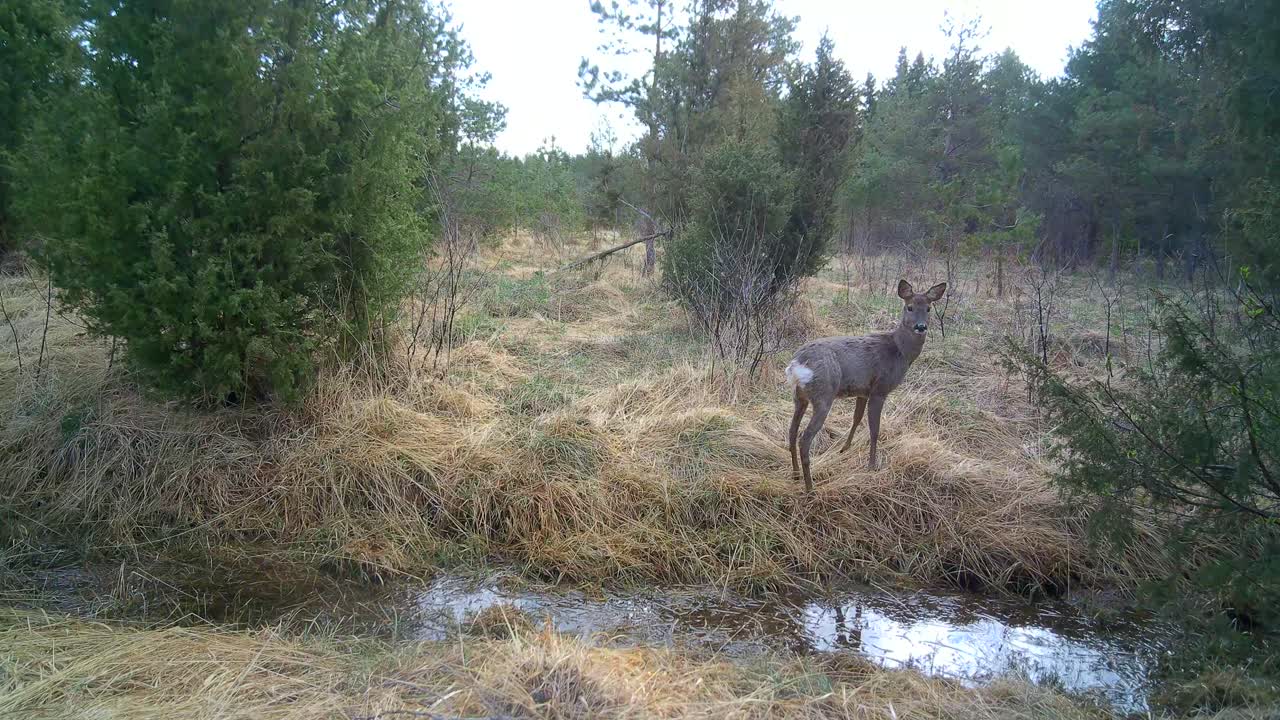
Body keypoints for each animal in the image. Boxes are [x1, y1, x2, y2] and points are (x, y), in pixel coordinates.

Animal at [785, 279, 947, 492]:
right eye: (910, 307)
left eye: (928, 308)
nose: (921, 327)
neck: (900, 351)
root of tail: (797, 365)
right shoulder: (880, 389)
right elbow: (874, 429)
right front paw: (872, 465)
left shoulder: (862, 391)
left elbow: (856, 419)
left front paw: (844, 448)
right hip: (824, 395)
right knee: (805, 438)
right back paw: (810, 487)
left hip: (799, 397)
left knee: (792, 431)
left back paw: (795, 474)